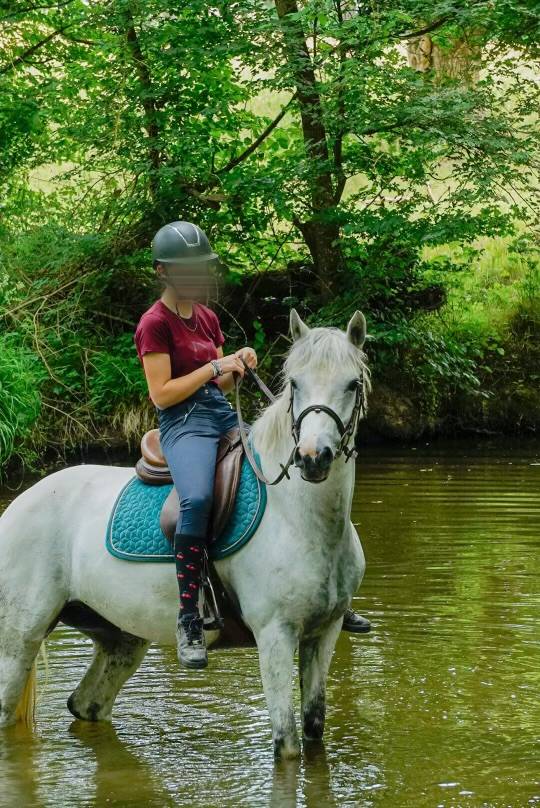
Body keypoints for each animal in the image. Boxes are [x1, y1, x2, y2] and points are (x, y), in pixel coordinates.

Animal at [0, 308, 370, 759]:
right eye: (295, 383)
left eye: (352, 384)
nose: (313, 458)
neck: (300, 519)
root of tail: (18, 505)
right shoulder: (275, 635)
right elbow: (287, 743)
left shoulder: (324, 633)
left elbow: (314, 727)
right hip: (18, 639)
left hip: (119, 635)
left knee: (85, 704)